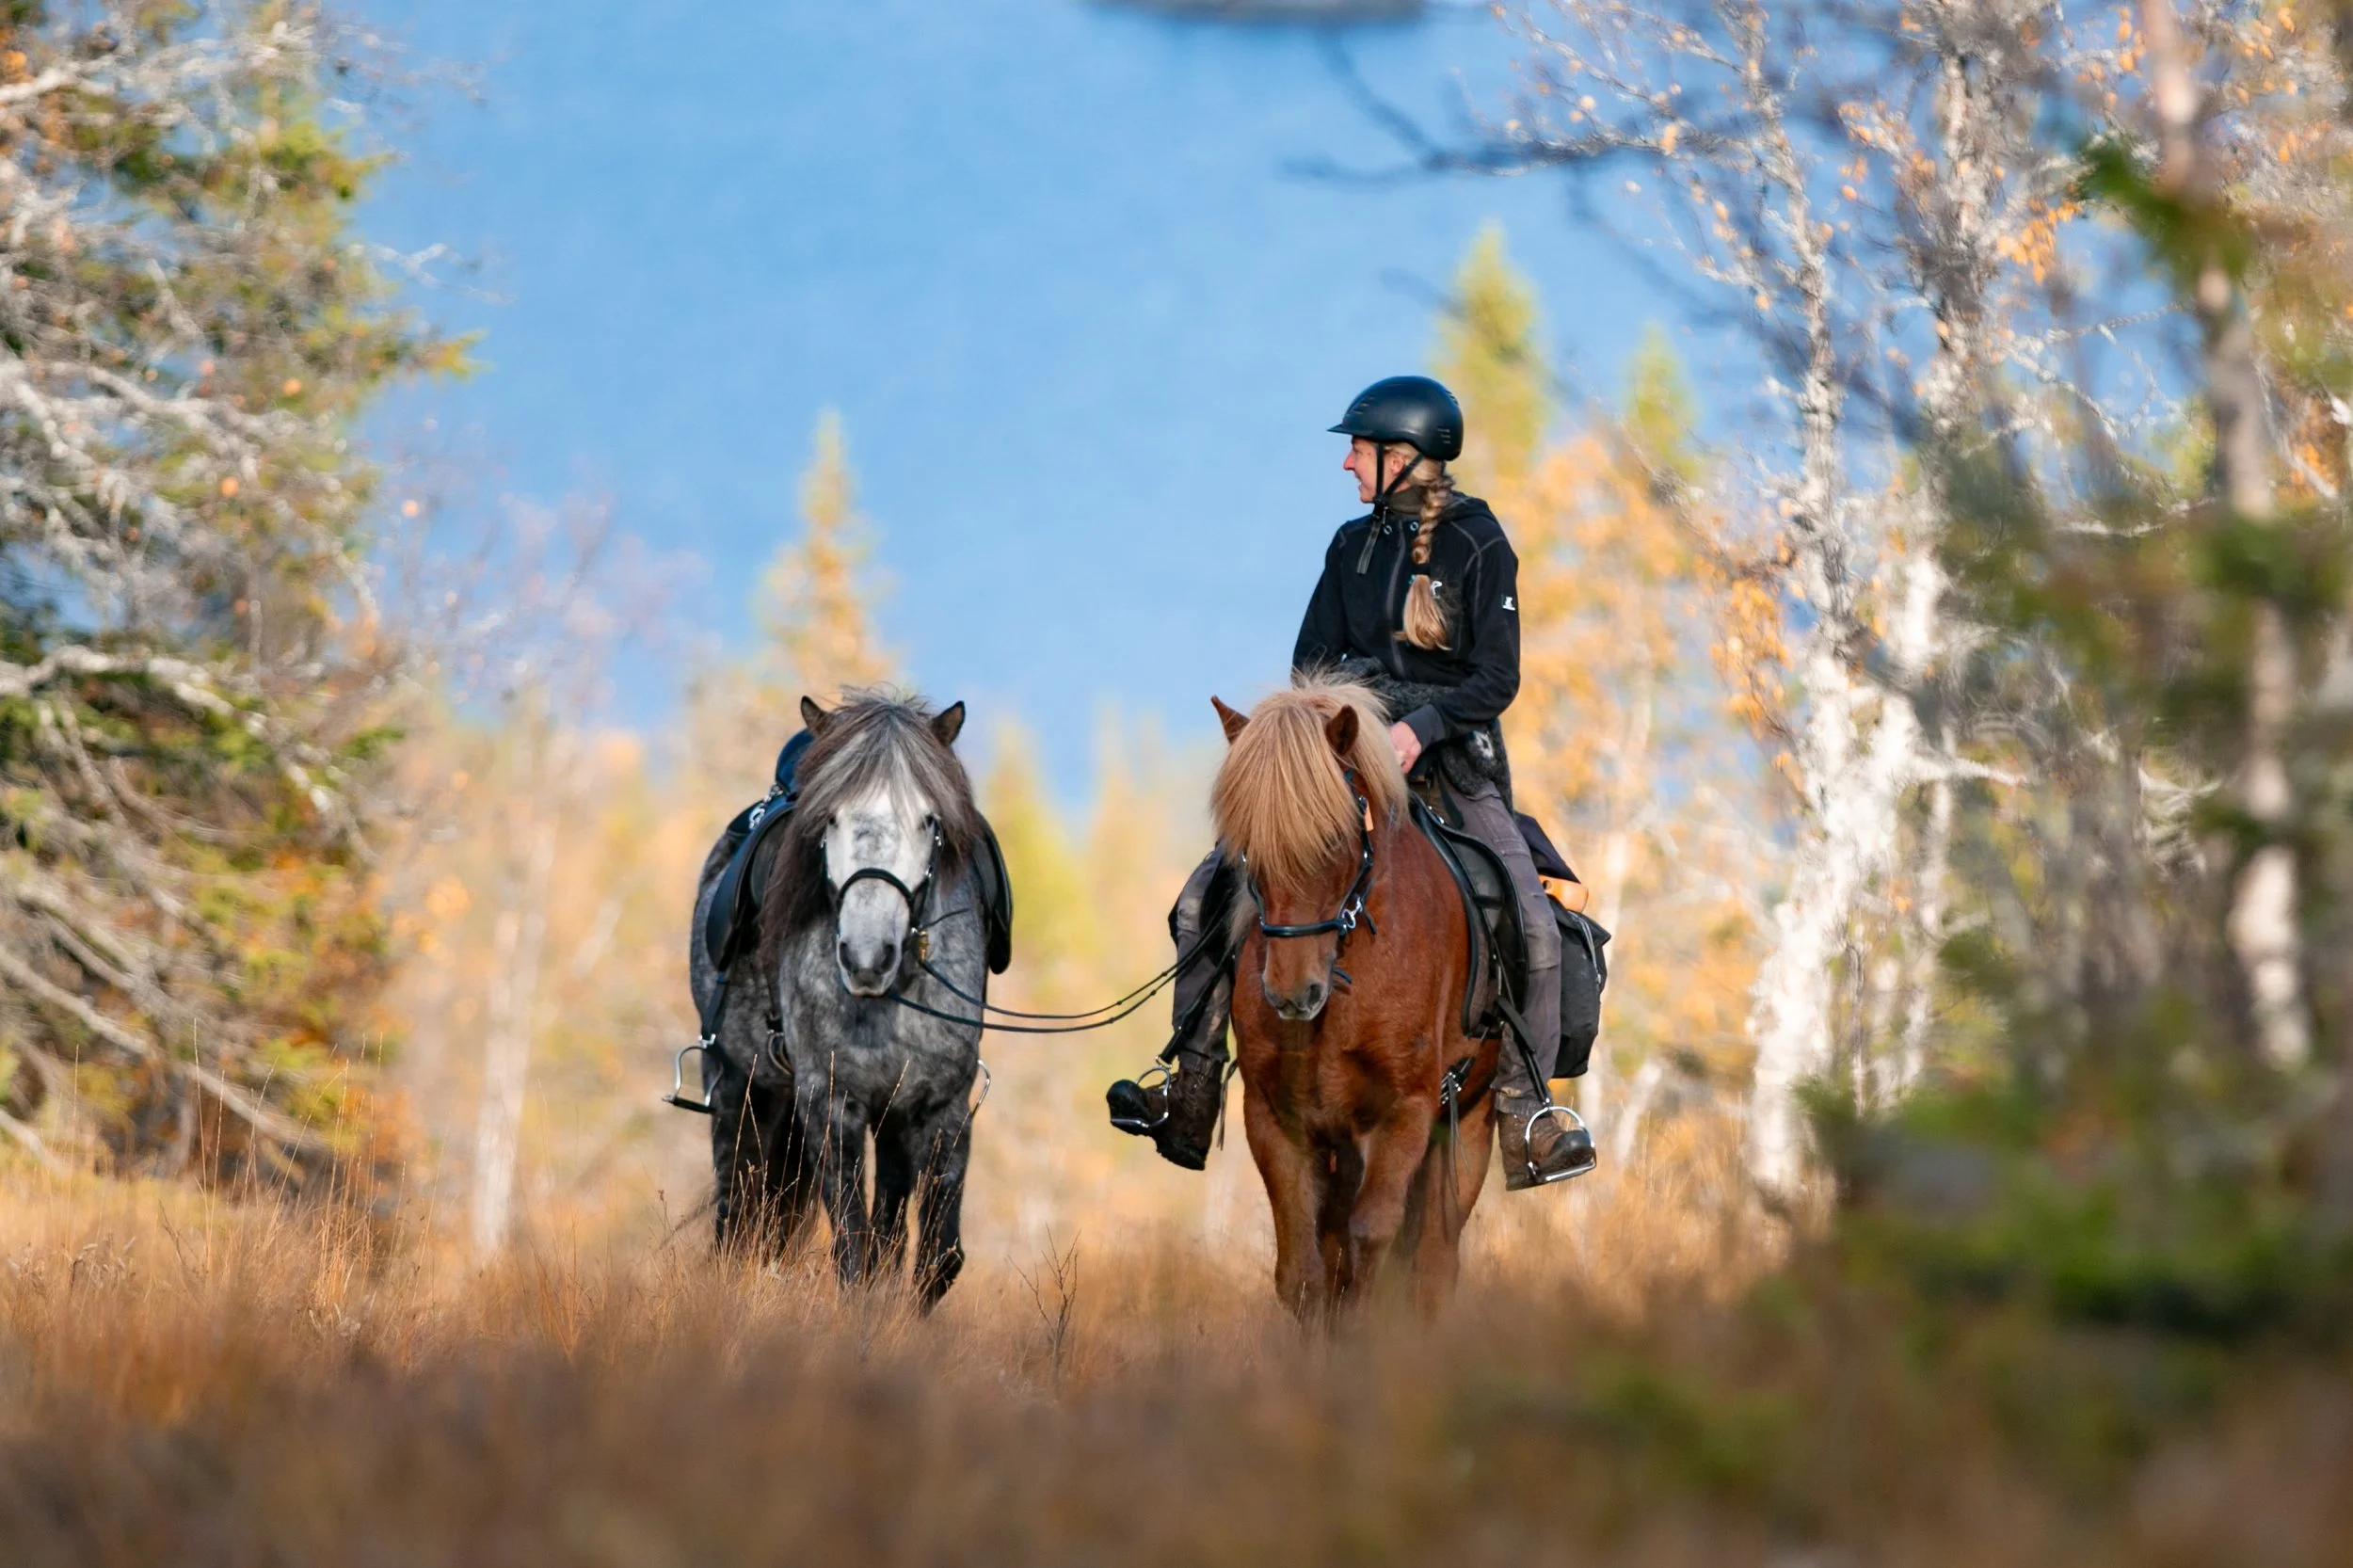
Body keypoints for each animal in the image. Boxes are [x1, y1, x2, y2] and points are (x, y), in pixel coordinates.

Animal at [686, 690, 987, 1308]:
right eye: (832, 817)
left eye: (929, 819)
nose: (867, 956)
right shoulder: (830, 1104)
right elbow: (851, 1250)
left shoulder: (941, 1107)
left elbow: (935, 1258)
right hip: (738, 1088)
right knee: (736, 1216)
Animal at [1209, 678, 1500, 1321]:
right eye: (1245, 848)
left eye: (1334, 838)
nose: (1293, 993)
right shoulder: (1276, 1120)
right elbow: (1304, 1269)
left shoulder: (1407, 1112)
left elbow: (1373, 1243)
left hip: (1467, 1124)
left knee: (1432, 1263)